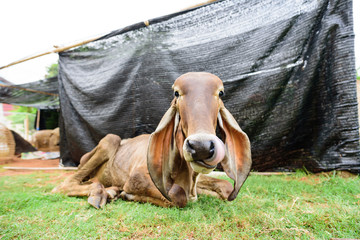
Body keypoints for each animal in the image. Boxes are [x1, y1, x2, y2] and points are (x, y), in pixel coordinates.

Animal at [52, 71, 250, 208]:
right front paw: (128, 195)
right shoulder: (137, 177)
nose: (201, 147)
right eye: (176, 93)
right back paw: (103, 193)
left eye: (221, 93)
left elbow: (225, 187)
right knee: (62, 186)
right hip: (110, 140)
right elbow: (178, 196)